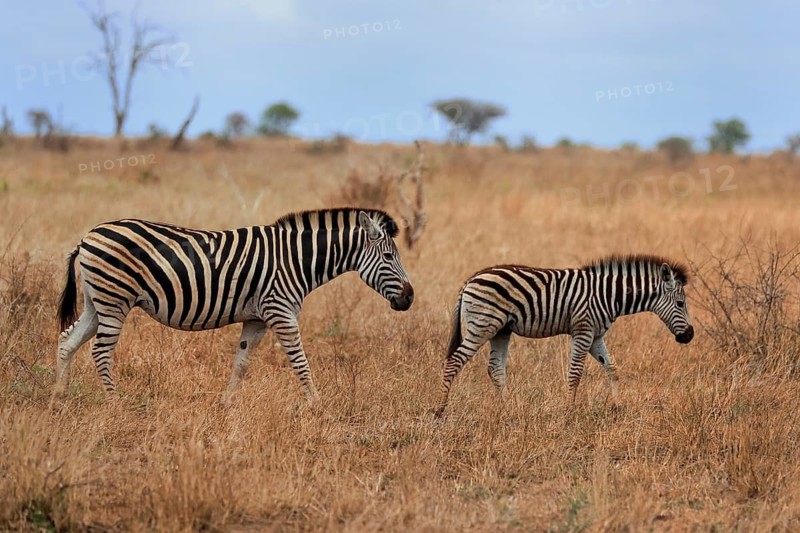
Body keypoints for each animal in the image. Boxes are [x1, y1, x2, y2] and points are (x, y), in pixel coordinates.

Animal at [54, 208, 414, 403]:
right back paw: (114, 403)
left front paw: (226, 405)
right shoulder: (280, 311)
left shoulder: (257, 319)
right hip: (114, 300)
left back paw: (60, 397)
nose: (410, 298)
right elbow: (300, 362)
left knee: (67, 340)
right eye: (388, 256)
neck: (297, 260)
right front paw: (317, 405)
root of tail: (88, 236)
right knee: (100, 352)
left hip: (97, 302)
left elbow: (240, 364)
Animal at [434, 255, 693, 417]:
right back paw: (439, 409)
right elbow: (575, 373)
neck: (609, 295)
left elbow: (612, 368)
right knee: (454, 361)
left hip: (501, 330)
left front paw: (617, 405)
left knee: (495, 368)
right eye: (681, 304)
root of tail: (471, 279)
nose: (689, 336)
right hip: (483, 325)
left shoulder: (596, 336)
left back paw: (508, 410)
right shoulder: (583, 330)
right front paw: (569, 411)